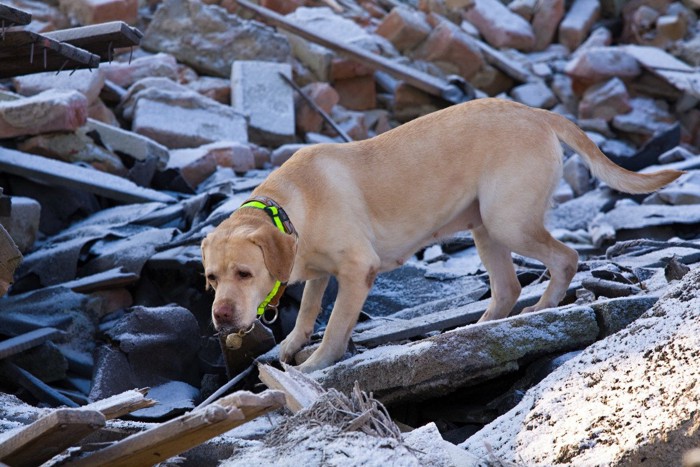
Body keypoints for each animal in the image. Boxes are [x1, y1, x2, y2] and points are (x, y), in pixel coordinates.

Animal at [202, 98, 684, 372]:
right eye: (211, 279)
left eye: (244, 274)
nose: (221, 316)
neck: (288, 207)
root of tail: (535, 111)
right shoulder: (320, 271)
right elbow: (308, 311)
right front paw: (291, 344)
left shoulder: (357, 269)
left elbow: (336, 324)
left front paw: (315, 364)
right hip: (485, 227)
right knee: (507, 287)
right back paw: (481, 328)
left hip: (507, 218)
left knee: (564, 257)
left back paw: (541, 309)